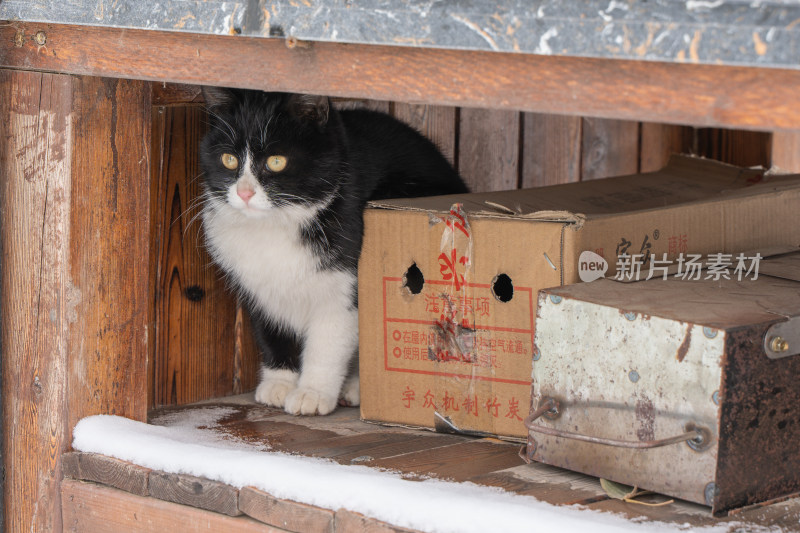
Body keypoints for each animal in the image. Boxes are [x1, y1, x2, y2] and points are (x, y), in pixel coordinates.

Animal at [198, 89, 468, 416]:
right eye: (229, 159)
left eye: (276, 161)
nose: (245, 193)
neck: (276, 225)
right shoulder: (257, 286)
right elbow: (271, 330)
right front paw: (279, 383)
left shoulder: (344, 286)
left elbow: (328, 341)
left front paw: (311, 393)